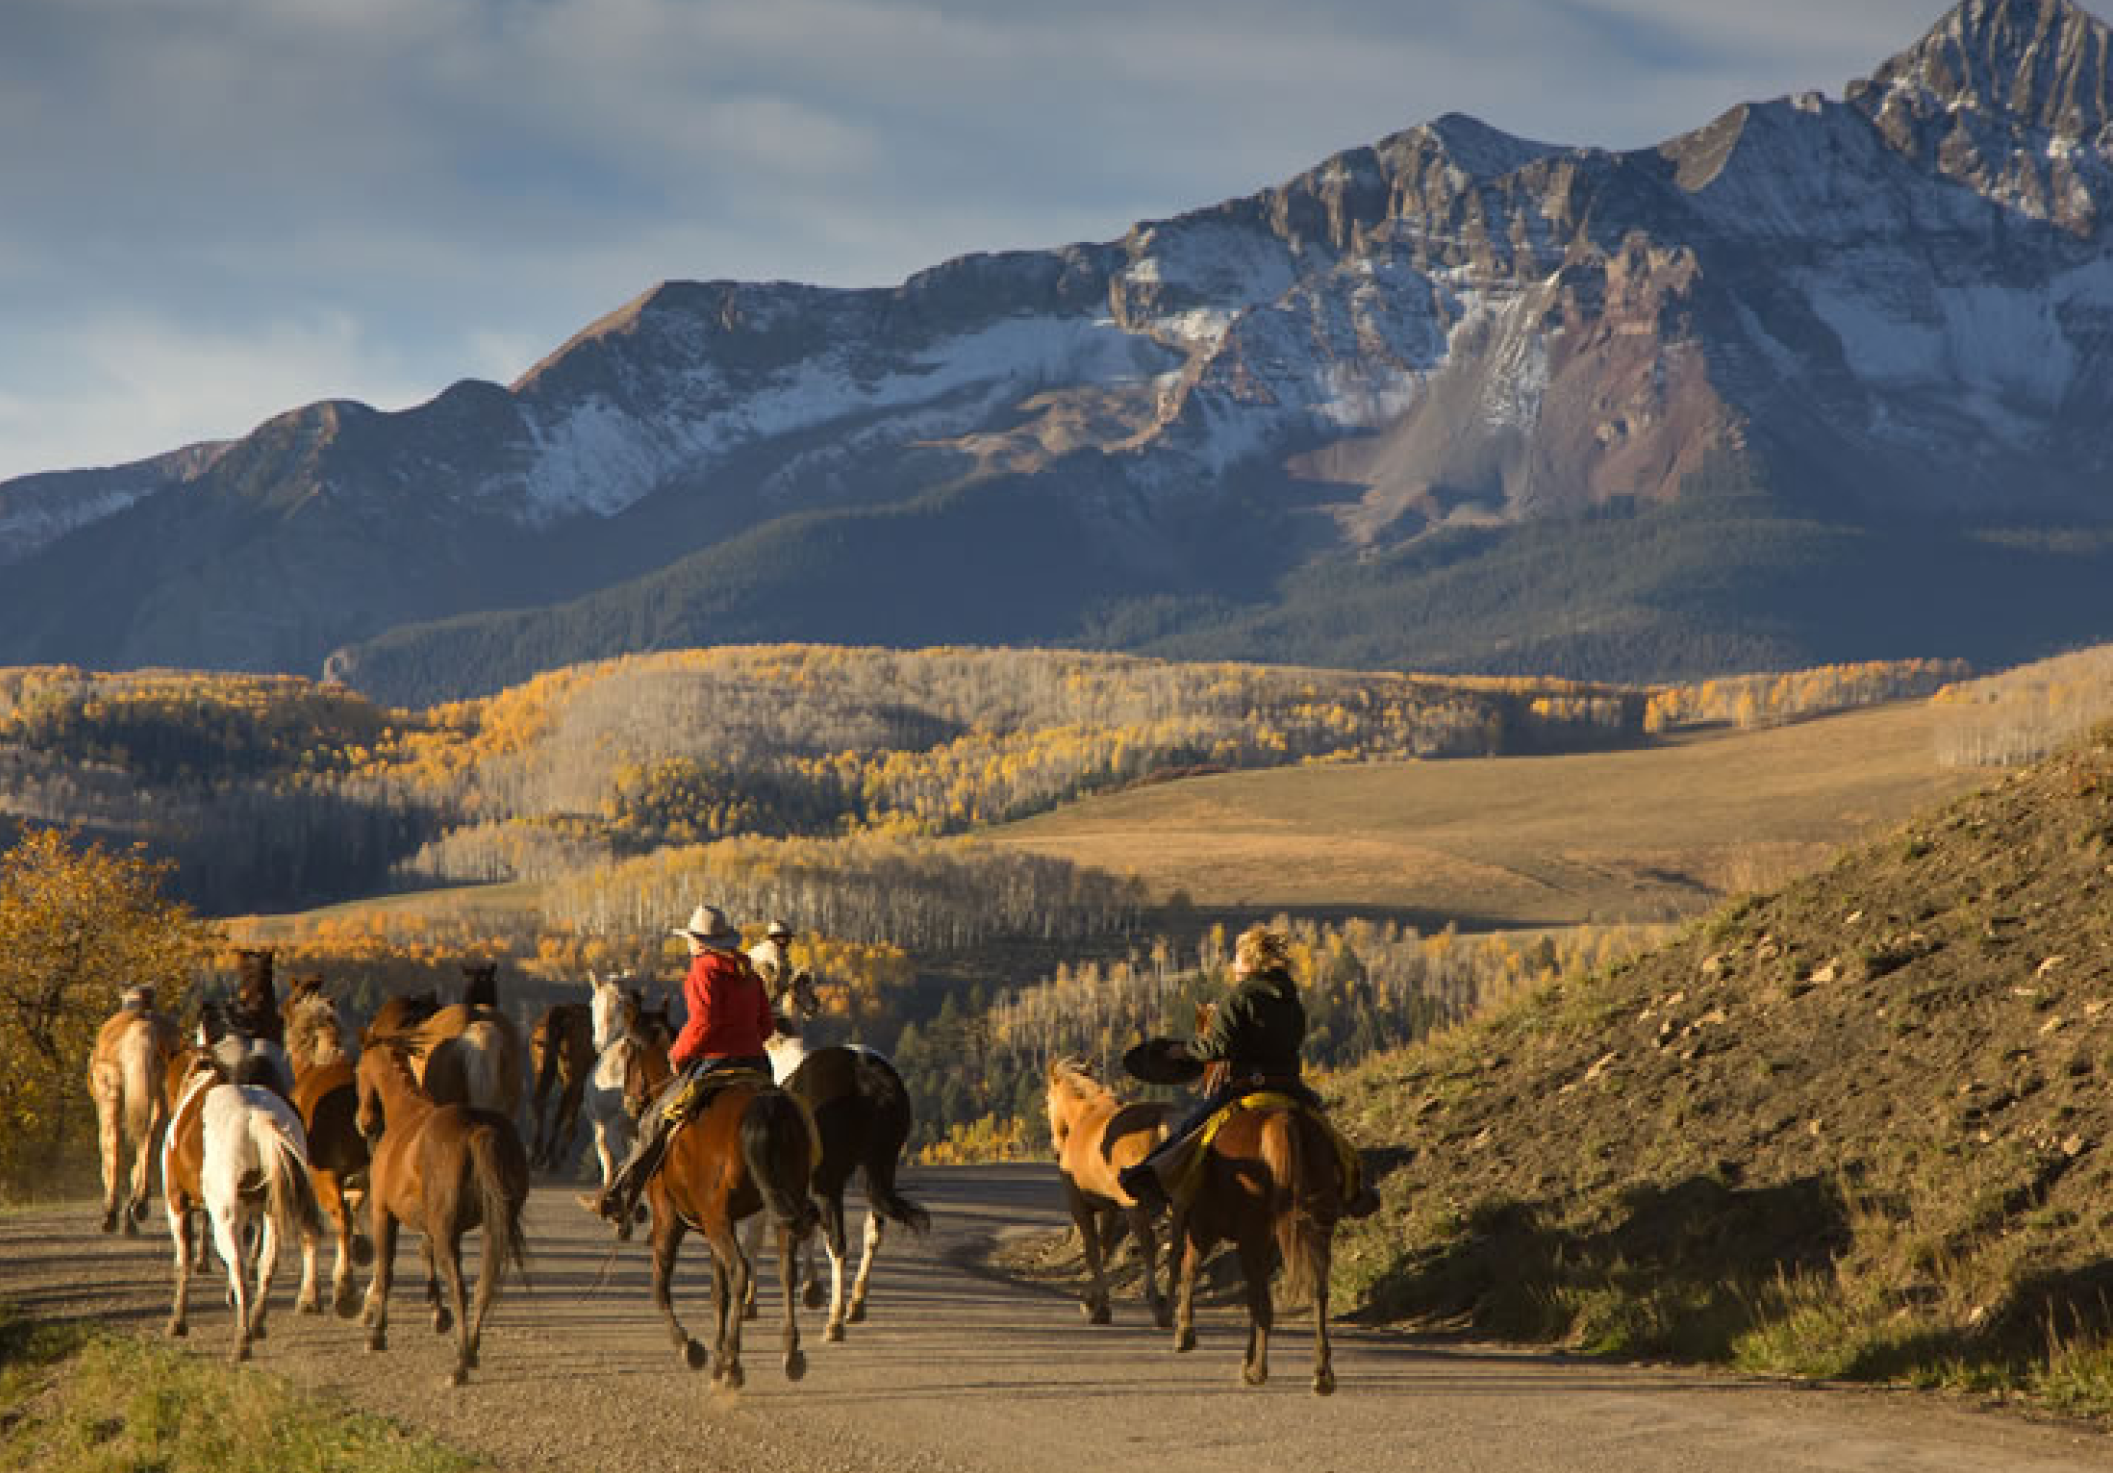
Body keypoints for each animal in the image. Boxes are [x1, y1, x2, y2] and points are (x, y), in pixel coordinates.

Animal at [87, 980, 184, 1234]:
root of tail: (142, 1023)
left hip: (111, 1096)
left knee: (114, 1148)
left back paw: (111, 1214)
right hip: (160, 1098)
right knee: (149, 1142)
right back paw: (138, 1205)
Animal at [283, 980, 374, 1318]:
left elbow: (313, 1232)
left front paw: (310, 1296)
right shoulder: (359, 1180)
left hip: (320, 1179)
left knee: (338, 1223)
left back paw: (346, 1294)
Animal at [352, 1027, 528, 1386]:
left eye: (357, 1070)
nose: (364, 1123)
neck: (405, 1114)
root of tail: (478, 1127)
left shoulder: (384, 1214)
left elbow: (386, 1270)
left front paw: (377, 1334)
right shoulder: (434, 1227)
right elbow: (424, 1253)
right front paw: (439, 1315)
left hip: (447, 1230)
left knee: (460, 1287)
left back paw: (459, 1365)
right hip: (491, 1227)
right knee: (483, 1286)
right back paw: (469, 1351)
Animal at [616, 1052, 815, 1386]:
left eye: (629, 1056)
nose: (629, 1102)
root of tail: (765, 1107)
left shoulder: (670, 1217)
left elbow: (660, 1284)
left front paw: (692, 1348)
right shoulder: (719, 1227)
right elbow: (716, 1291)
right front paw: (718, 1357)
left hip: (712, 1220)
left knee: (739, 1271)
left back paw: (734, 1362)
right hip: (777, 1208)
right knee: (786, 1269)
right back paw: (790, 1353)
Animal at [1052, 1052, 1183, 1327]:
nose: (1055, 1149)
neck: (1085, 1115)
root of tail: (1164, 1120)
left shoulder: (1081, 1206)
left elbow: (1093, 1250)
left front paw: (1095, 1305)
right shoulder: (1110, 1208)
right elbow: (1104, 1247)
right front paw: (1096, 1301)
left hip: (1135, 1205)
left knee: (1149, 1245)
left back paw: (1158, 1305)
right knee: (1178, 1248)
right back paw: (1171, 1308)